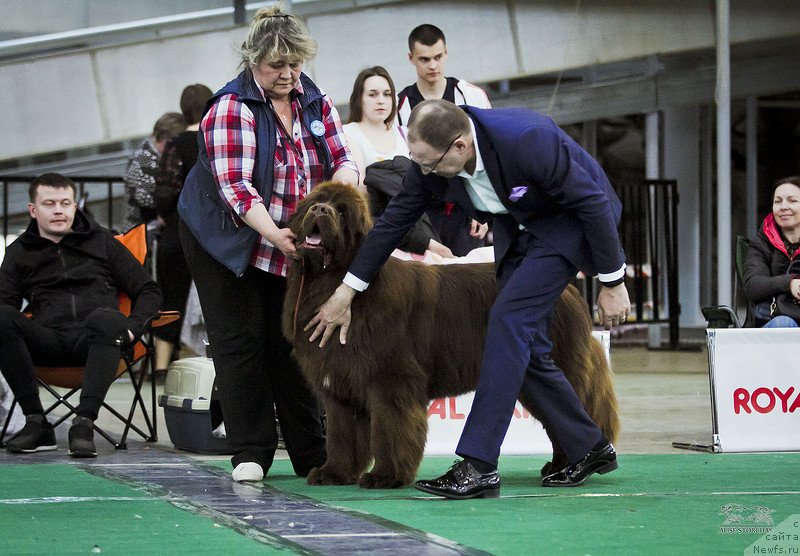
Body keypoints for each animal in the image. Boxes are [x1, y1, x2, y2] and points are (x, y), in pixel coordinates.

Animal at [282, 181, 620, 486]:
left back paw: (575, 466)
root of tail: (571, 293)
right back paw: (560, 467)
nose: (320, 210)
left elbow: (390, 429)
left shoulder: (391, 379)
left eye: (341, 211)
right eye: (315, 201)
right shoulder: (340, 385)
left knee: (575, 411)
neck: (334, 284)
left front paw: (385, 476)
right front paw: (334, 473)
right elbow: (342, 436)